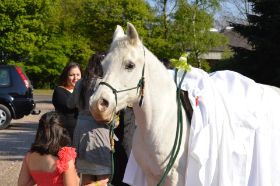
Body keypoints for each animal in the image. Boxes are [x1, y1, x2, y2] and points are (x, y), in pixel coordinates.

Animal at [88, 22, 280, 185]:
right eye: (103, 65)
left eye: (130, 65)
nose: (98, 104)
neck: (162, 122)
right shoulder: (152, 177)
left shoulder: (175, 179)